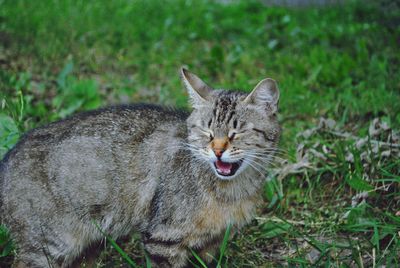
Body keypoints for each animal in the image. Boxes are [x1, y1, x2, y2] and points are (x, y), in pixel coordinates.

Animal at [0, 67, 282, 268]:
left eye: (237, 133)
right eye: (207, 132)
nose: (218, 150)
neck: (230, 192)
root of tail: (8, 156)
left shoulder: (212, 245)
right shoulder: (162, 239)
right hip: (48, 246)